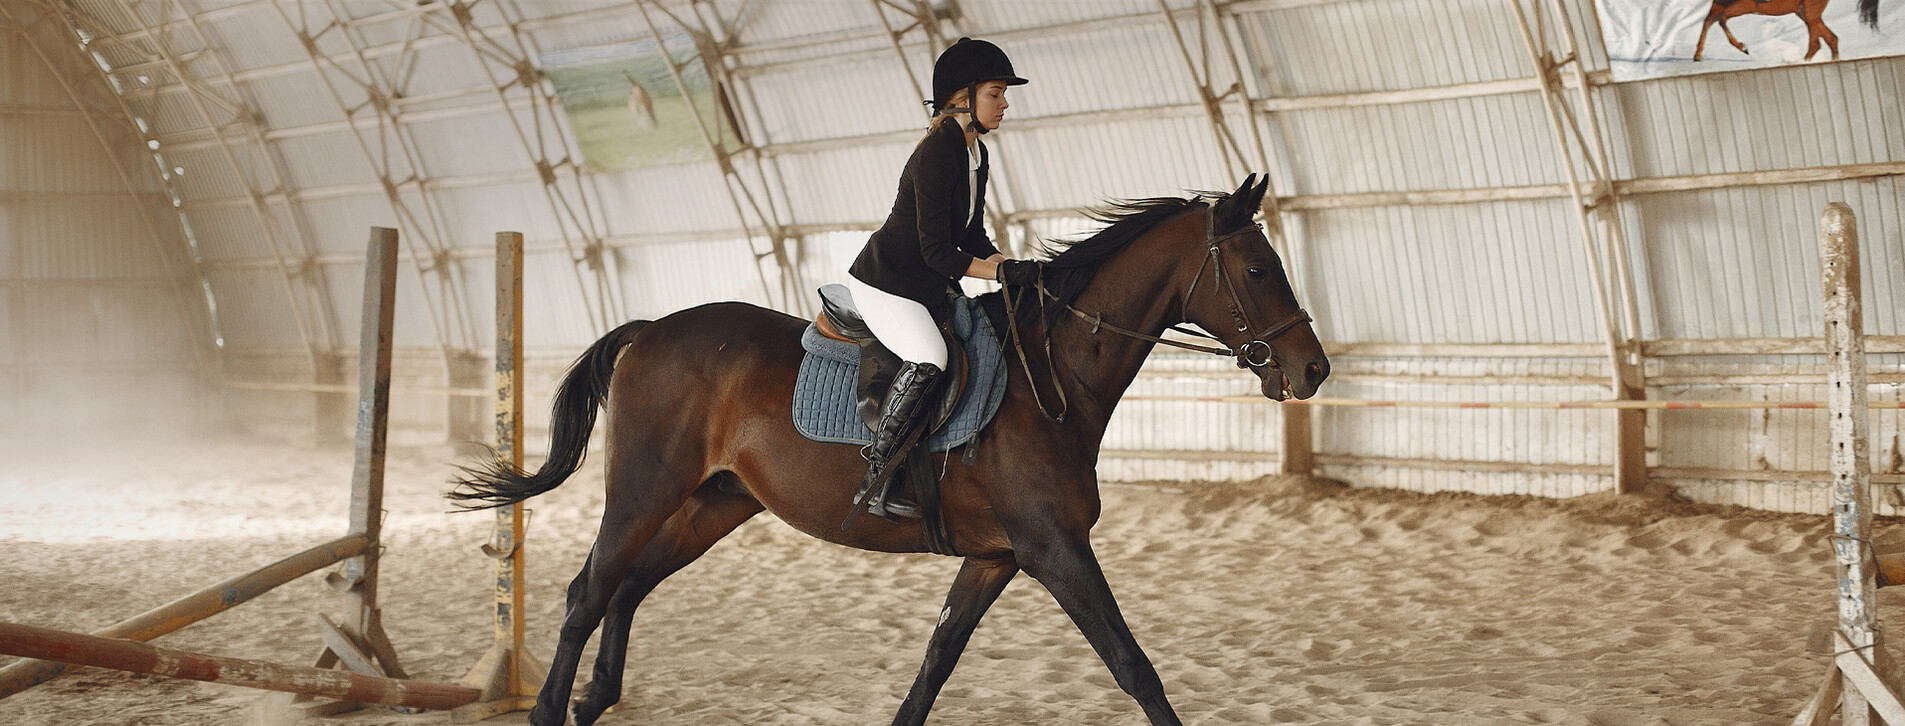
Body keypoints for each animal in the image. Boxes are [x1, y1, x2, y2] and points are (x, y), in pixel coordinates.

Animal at [453, 175, 1333, 724]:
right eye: (1259, 268)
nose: (1312, 370)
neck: (1052, 379)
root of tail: (649, 331)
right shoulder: (1054, 548)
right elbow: (1132, 665)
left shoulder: (995, 557)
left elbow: (937, 660)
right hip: (644, 488)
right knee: (589, 591)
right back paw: (549, 708)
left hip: (715, 503)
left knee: (628, 586)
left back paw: (594, 699)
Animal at [1706, 0, 1882, 60]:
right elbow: (1710, 20)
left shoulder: (1742, 6)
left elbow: (1718, 19)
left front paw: (1742, 47)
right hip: (1805, 13)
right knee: (1830, 39)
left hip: (1809, 14)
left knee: (1817, 42)